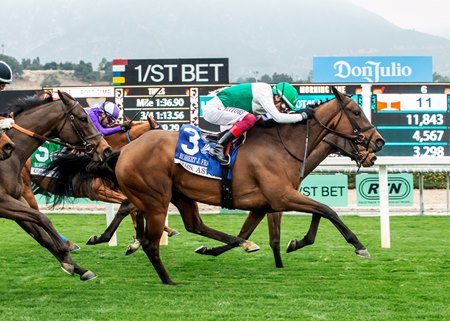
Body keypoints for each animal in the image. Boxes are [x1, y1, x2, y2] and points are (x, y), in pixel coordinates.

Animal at [0, 90, 111, 280]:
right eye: (83, 118)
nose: (106, 149)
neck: (9, 160)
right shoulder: (3, 202)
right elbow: (43, 218)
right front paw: (64, 250)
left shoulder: (16, 198)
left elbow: (40, 234)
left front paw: (76, 266)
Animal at [45, 86, 384, 284]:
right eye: (356, 112)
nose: (378, 142)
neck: (283, 145)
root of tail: (123, 151)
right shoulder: (281, 196)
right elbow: (327, 210)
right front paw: (359, 245)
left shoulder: (266, 202)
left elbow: (291, 224)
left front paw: (289, 245)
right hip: (156, 199)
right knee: (152, 240)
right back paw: (165, 276)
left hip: (178, 195)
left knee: (194, 224)